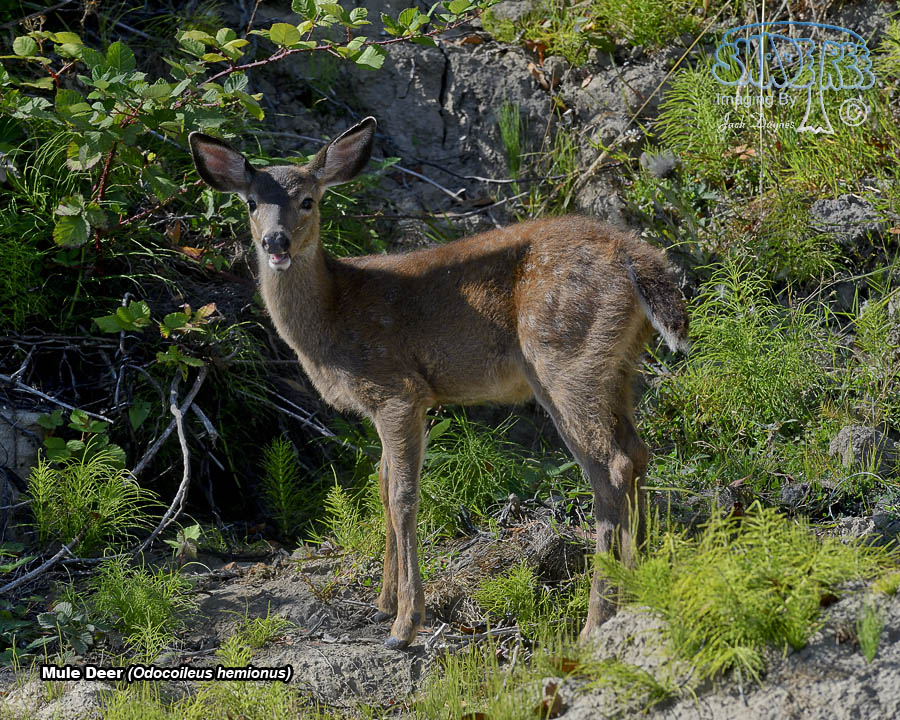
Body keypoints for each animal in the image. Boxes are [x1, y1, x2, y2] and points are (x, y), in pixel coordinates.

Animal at [189, 117, 689, 650]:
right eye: (250, 202)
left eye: (308, 200)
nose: (276, 242)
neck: (332, 315)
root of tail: (637, 255)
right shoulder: (384, 405)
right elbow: (382, 483)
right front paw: (383, 602)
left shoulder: (397, 389)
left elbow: (403, 496)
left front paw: (404, 625)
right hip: (619, 364)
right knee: (637, 452)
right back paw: (636, 592)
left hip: (564, 358)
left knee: (610, 467)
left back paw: (595, 623)